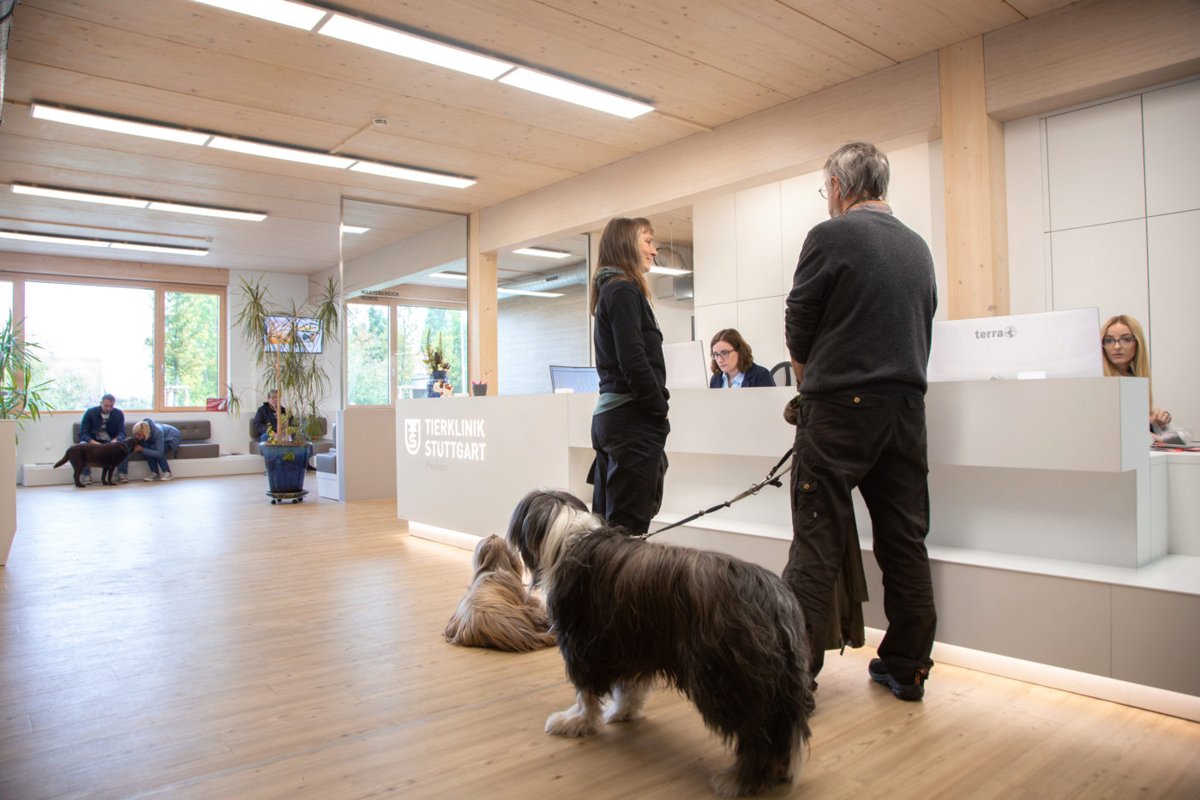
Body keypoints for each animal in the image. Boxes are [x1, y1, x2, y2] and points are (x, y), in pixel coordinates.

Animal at [501, 489, 811, 796]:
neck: (569, 535)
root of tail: (777, 600)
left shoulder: (583, 642)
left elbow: (586, 692)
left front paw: (576, 721)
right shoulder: (633, 641)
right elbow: (631, 686)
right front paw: (624, 712)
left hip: (728, 676)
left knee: (756, 732)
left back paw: (740, 781)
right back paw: (776, 771)